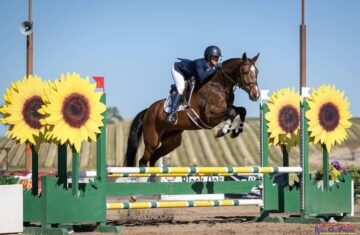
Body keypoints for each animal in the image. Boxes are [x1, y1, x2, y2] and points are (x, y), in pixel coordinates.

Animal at [125, 53, 260, 167]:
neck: (219, 86)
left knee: (154, 158)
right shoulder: (210, 117)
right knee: (143, 161)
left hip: (171, 141)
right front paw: (222, 131)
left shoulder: (226, 107)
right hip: (152, 140)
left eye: (257, 72)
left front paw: (236, 131)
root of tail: (148, 110)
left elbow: (241, 110)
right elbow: (232, 113)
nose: (256, 95)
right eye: (244, 71)